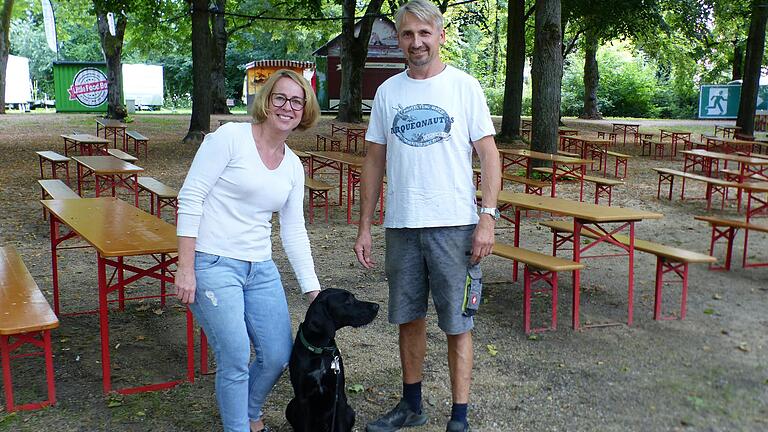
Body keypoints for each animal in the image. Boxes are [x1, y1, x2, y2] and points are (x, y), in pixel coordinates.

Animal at [284, 286, 380, 432]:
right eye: (347, 301)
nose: (376, 306)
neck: (320, 350)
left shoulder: (338, 396)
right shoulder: (302, 399)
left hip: (349, 411)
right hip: (290, 406)